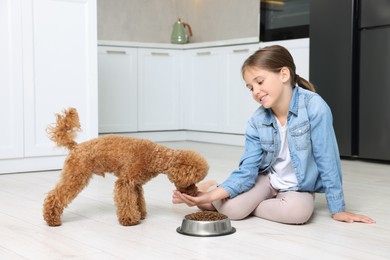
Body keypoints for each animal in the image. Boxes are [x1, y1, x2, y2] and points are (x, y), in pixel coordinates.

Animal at [43, 107, 209, 225]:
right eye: (191, 181)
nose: (195, 192)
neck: (155, 157)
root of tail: (76, 147)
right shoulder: (126, 181)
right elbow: (126, 200)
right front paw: (130, 220)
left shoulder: (136, 184)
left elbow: (138, 200)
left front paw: (141, 214)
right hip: (76, 175)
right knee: (54, 196)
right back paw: (52, 219)